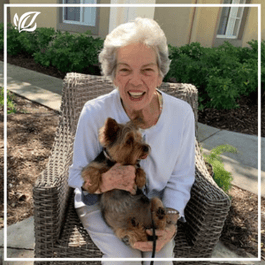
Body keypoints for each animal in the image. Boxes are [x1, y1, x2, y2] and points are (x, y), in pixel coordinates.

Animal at [80, 117, 167, 245]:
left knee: (158, 227)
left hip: (155, 201)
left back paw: (159, 215)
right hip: (122, 230)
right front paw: (92, 186)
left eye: (139, 138)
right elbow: (93, 171)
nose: (146, 147)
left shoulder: (133, 167)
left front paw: (141, 179)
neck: (117, 162)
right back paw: (137, 226)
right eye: (129, 140)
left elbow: (138, 168)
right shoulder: (91, 166)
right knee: (137, 236)